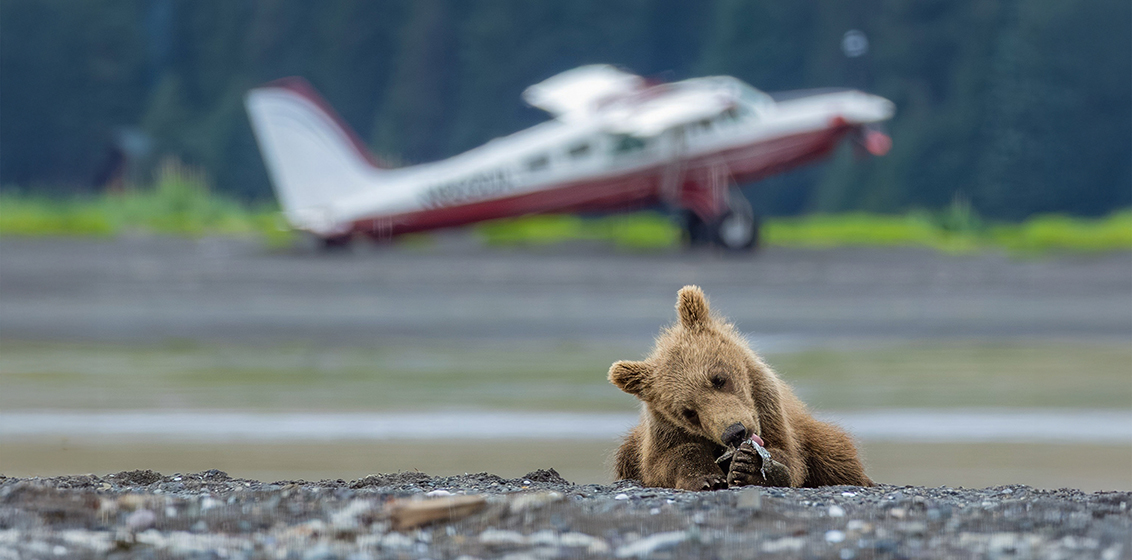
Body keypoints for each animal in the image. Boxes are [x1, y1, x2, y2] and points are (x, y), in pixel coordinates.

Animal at [608, 285, 874, 490]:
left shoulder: (767, 404)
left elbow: (786, 452)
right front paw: (707, 477)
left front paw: (750, 467)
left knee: (835, 453)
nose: (734, 431)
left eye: (718, 378)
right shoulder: (663, 428)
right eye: (689, 412)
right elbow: (668, 458)